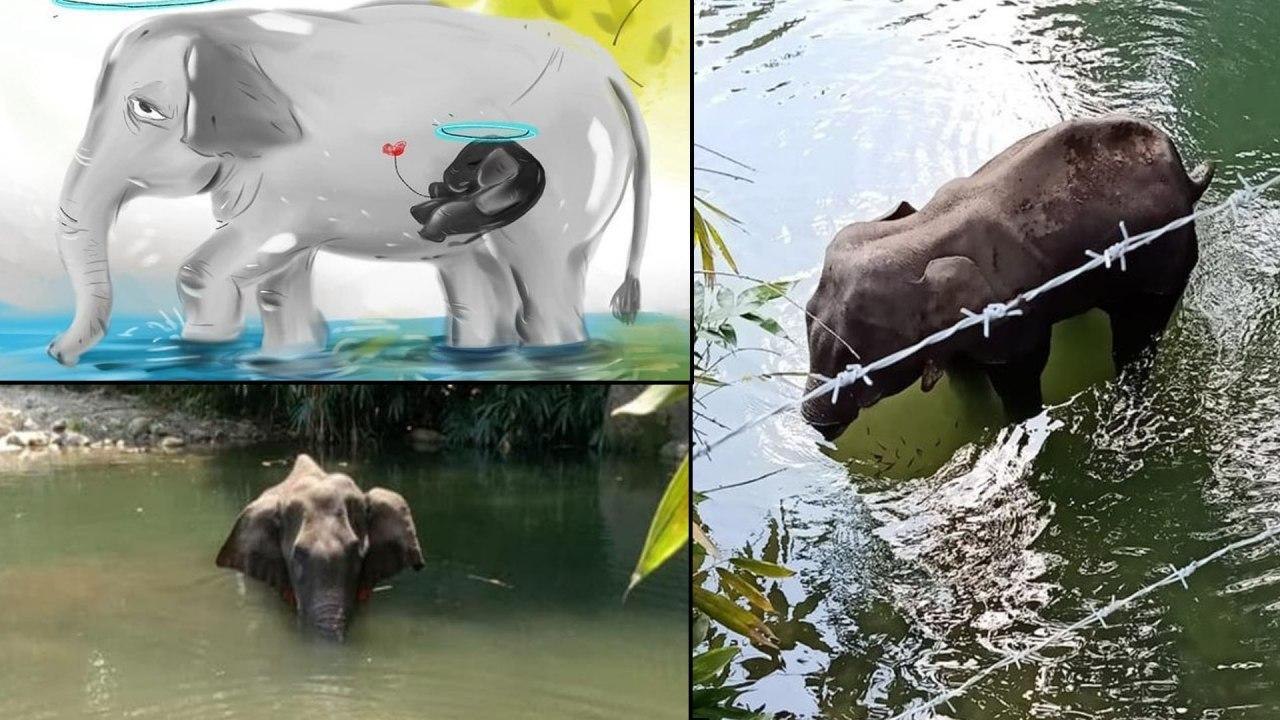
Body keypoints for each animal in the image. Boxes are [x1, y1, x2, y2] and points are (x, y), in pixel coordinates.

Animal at [48, 1, 650, 366]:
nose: (59, 355)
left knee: (544, 272)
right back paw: (473, 356)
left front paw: (205, 343)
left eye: (144, 109)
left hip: (573, 174)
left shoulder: (289, 175)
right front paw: (288, 359)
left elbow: (240, 251)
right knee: (475, 273)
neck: (223, 27)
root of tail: (610, 72)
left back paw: (553, 356)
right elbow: (277, 275)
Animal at [802, 115, 1214, 440]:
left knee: (1137, 335)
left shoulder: (1011, 317)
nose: (817, 427)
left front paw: (1014, 424)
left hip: (1166, 259)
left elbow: (1021, 373)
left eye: (859, 365)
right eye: (807, 313)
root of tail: (1188, 179)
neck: (923, 232)